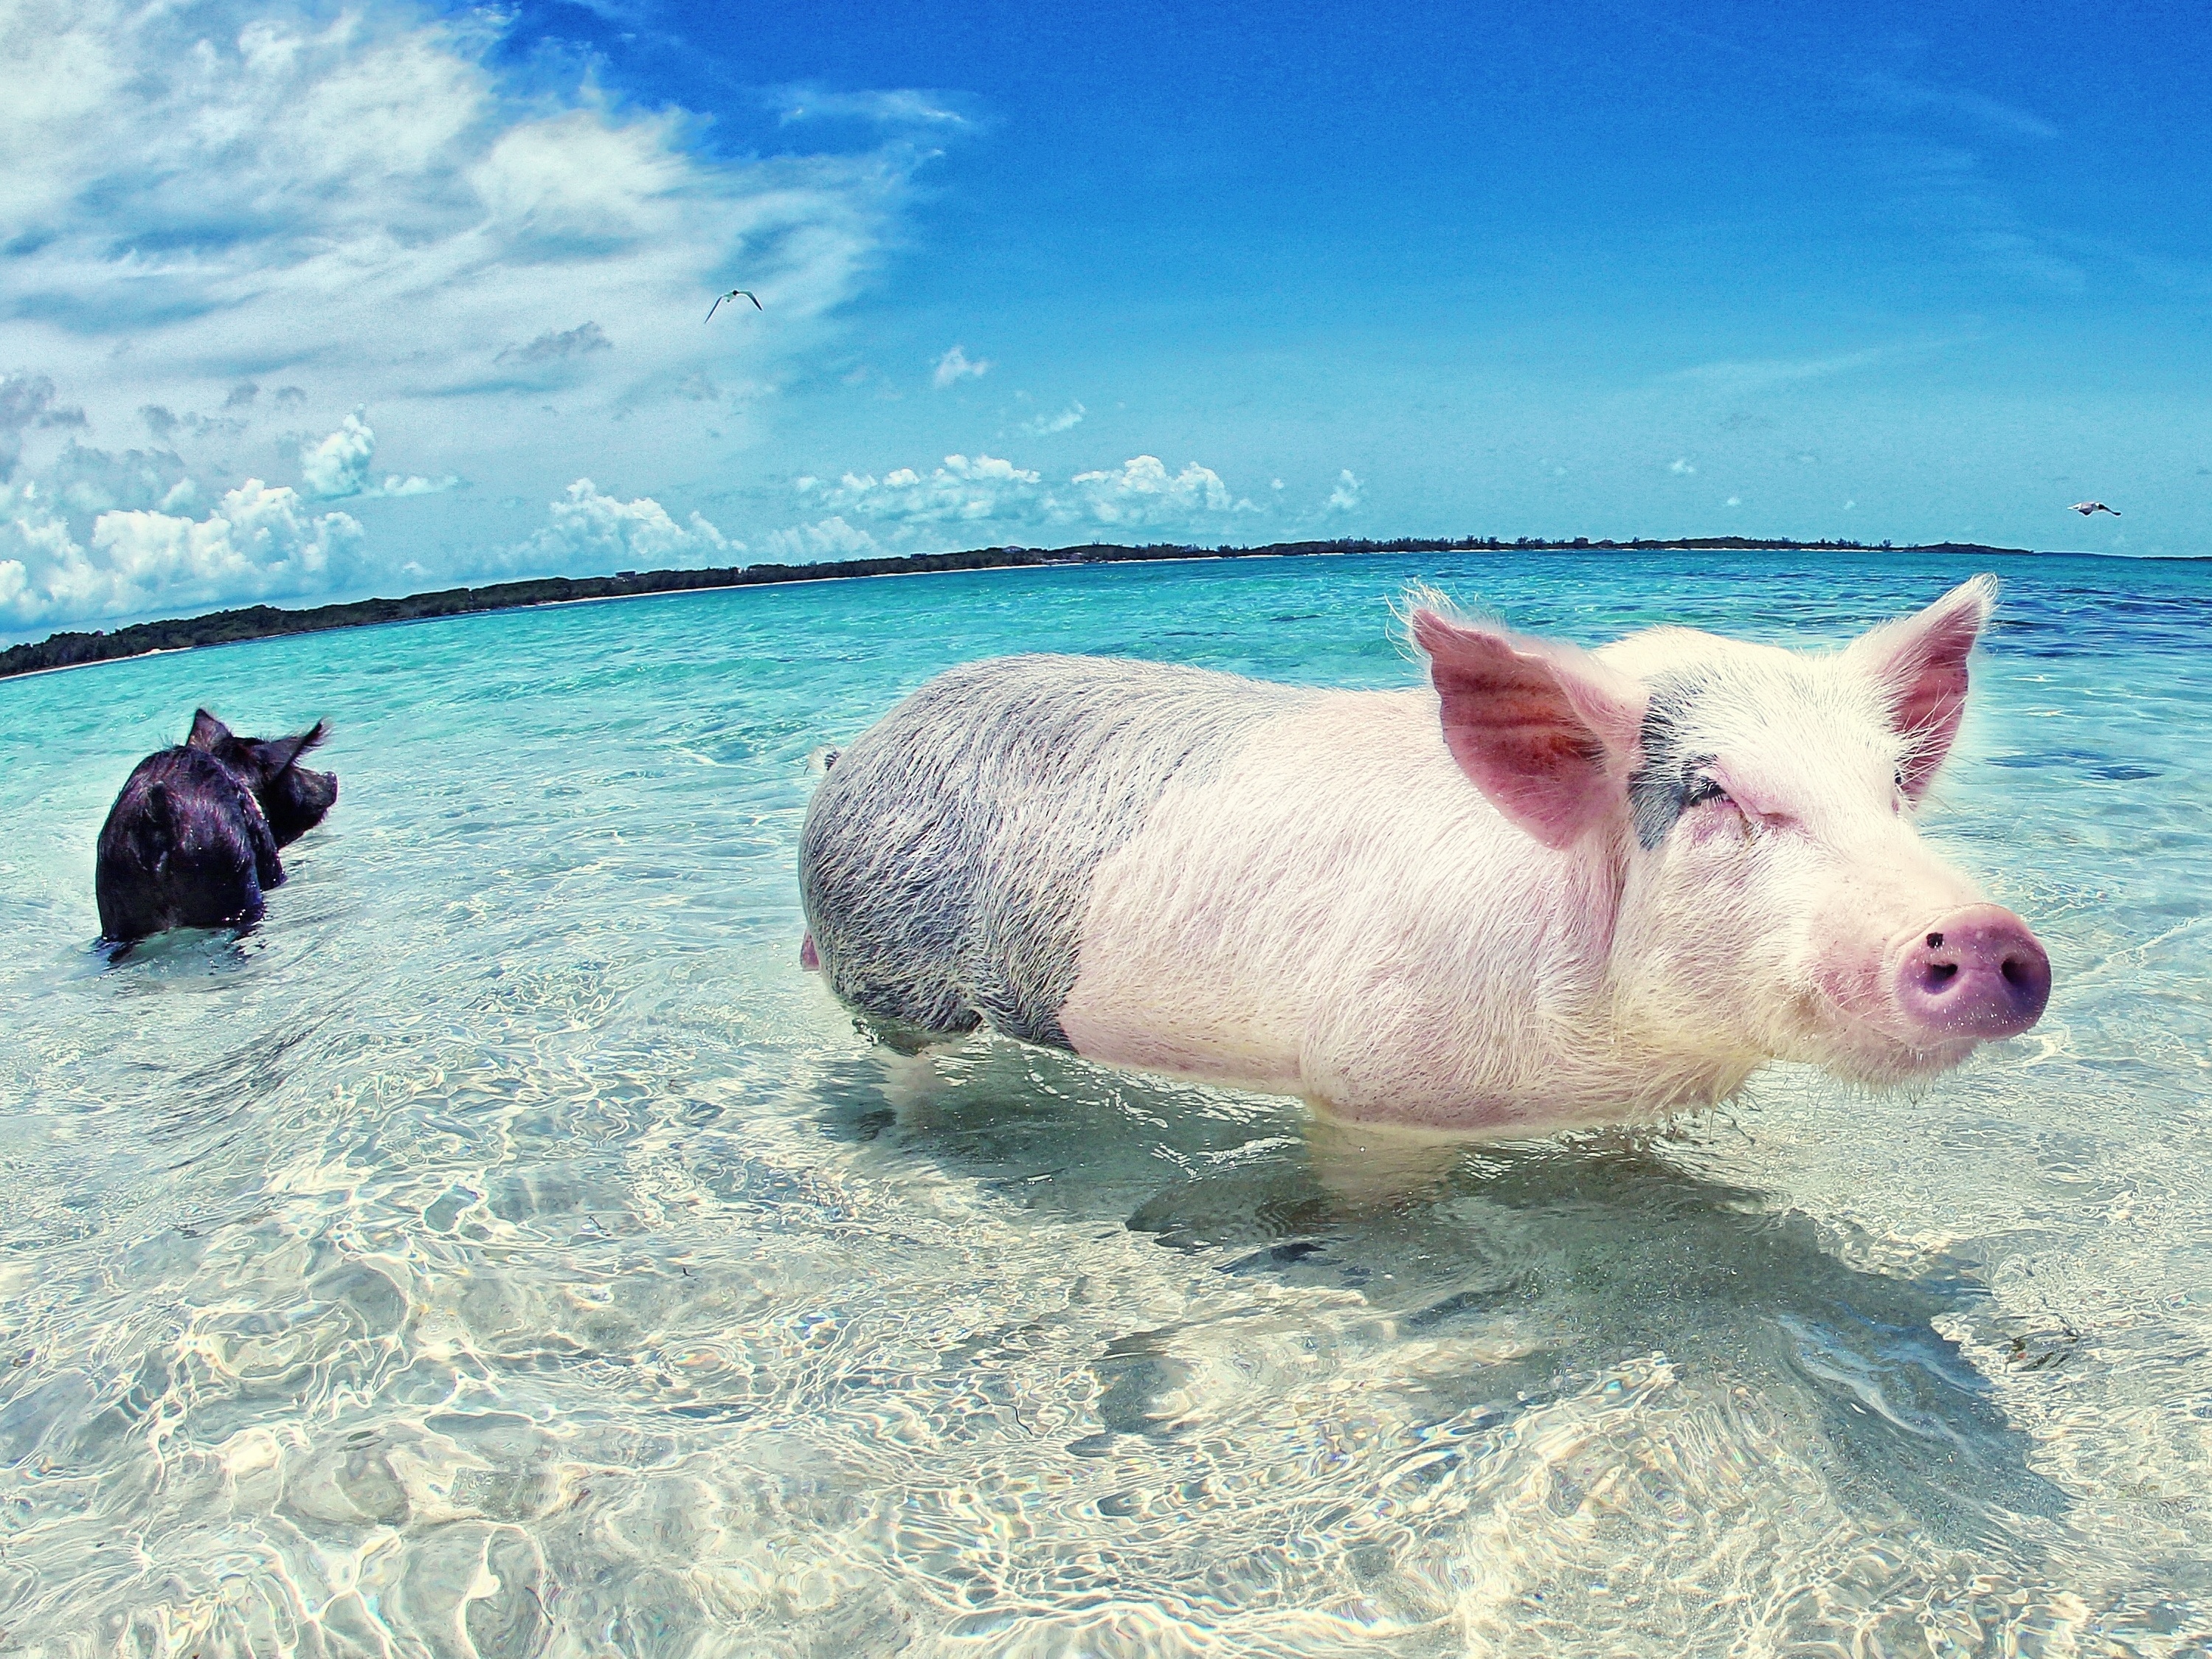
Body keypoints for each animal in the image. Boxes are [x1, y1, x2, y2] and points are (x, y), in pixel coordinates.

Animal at [801, 570, 2053, 1132]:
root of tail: (853, 752)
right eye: (1712, 794)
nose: (1987, 932)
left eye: (1888, 790)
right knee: (903, 1062)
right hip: (888, 964)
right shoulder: (1370, 1084)